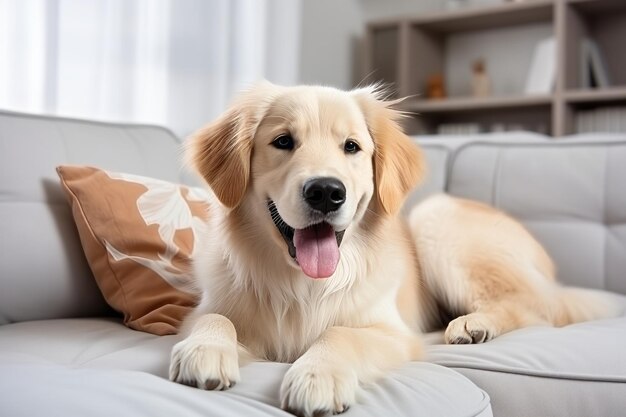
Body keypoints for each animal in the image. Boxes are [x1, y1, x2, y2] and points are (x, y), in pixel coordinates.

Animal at [167, 82, 620, 416]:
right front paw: (205, 351)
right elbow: (215, 319)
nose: (326, 192)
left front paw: (316, 377)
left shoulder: (393, 333)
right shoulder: (206, 309)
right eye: (282, 141)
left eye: (351, 146)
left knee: (531, 308)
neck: (303, 284)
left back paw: (472, 325)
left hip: (436, 219)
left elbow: (340, 333)